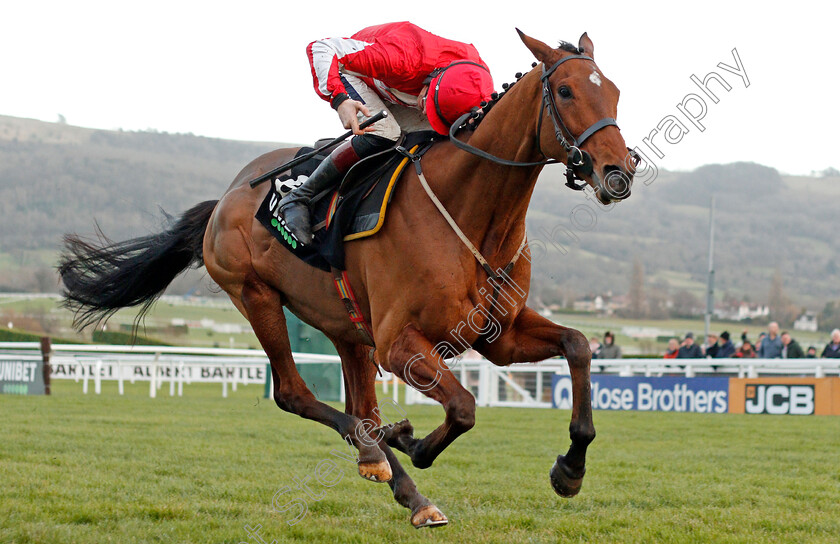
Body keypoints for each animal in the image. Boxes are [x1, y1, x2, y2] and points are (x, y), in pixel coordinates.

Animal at [59, 30, 636, 528]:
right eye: (565, 90)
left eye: (613, 91)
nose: (618, 173)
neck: (470, 217)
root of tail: (226, 198)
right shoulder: (400, 345)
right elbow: (464, 408)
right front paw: (412, 442)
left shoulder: (498, 336)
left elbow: (578, 344)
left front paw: (570, 468)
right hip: (256, 295)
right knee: (297, 395)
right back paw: (379, 456)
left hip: (346, 325)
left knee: (360, 407)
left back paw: (402, 485)